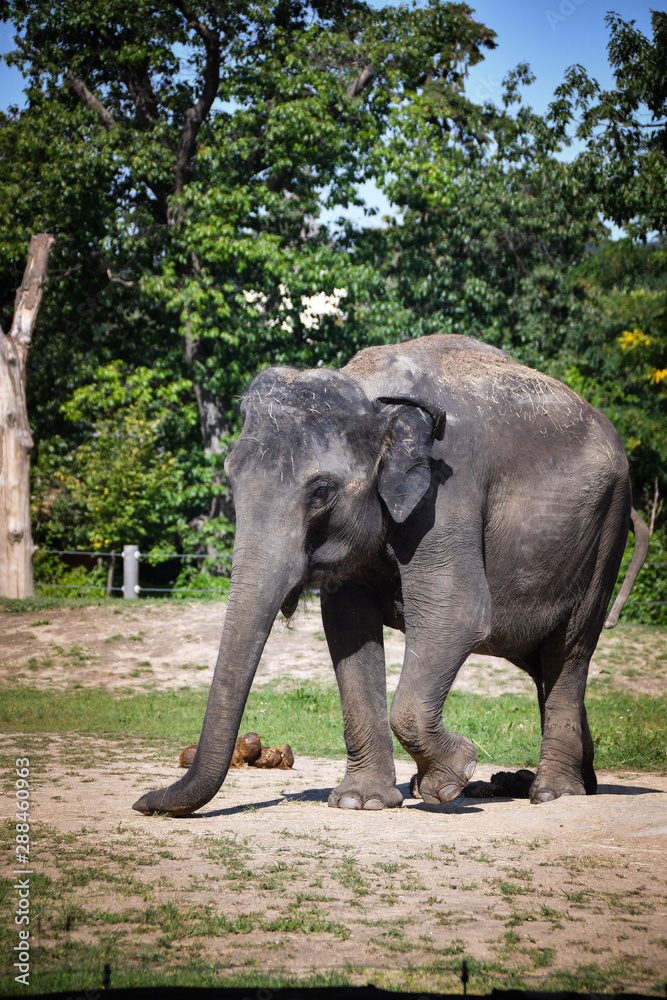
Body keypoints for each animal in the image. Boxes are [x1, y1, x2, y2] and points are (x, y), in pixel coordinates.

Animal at [133, 334, 649, 816]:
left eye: (321, 491)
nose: (143, 801)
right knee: (542, 660)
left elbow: (455, 613)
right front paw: (361, 802)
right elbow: (347, 627)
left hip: (604, 531)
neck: (372, 395)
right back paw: (553, 783)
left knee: (570, 650)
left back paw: (553, 792)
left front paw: (452, 777)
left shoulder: (448, 492)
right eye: (230, 477)